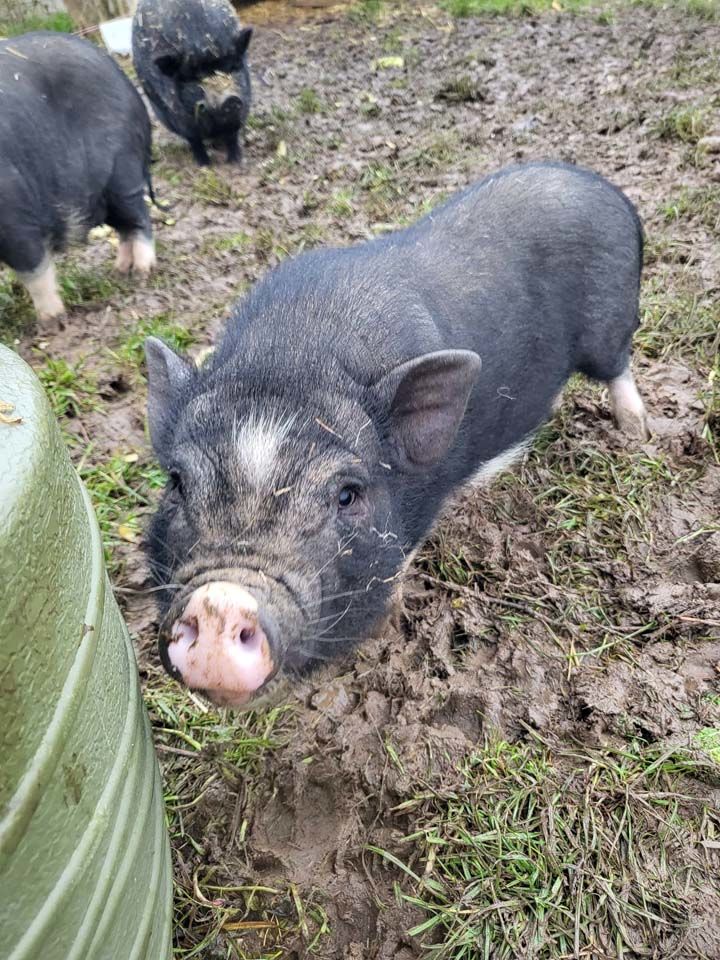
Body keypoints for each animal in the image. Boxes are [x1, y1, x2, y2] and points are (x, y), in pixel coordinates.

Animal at [0, 32, 155, 327]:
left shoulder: (15, 214)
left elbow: (33, 266)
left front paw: (52, 324)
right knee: (123, 227)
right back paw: (119, 271)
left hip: (123, 173)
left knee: (139, 219)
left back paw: (142, 273)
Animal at [132, 0, 253, 166]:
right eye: (197, 76)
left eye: (231, 67)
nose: (230, 98)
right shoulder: (179, 117)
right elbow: (194, 140)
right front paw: (205, 165)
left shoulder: (242, 108)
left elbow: (232, 135)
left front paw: (236, 161)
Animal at [144, 162, 649, 709]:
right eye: (176, 483)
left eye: (347, 495)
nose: (220, 601)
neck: (292, 360)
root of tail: (600, 186)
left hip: (610, 322)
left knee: (620, 365)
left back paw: (637, 431)